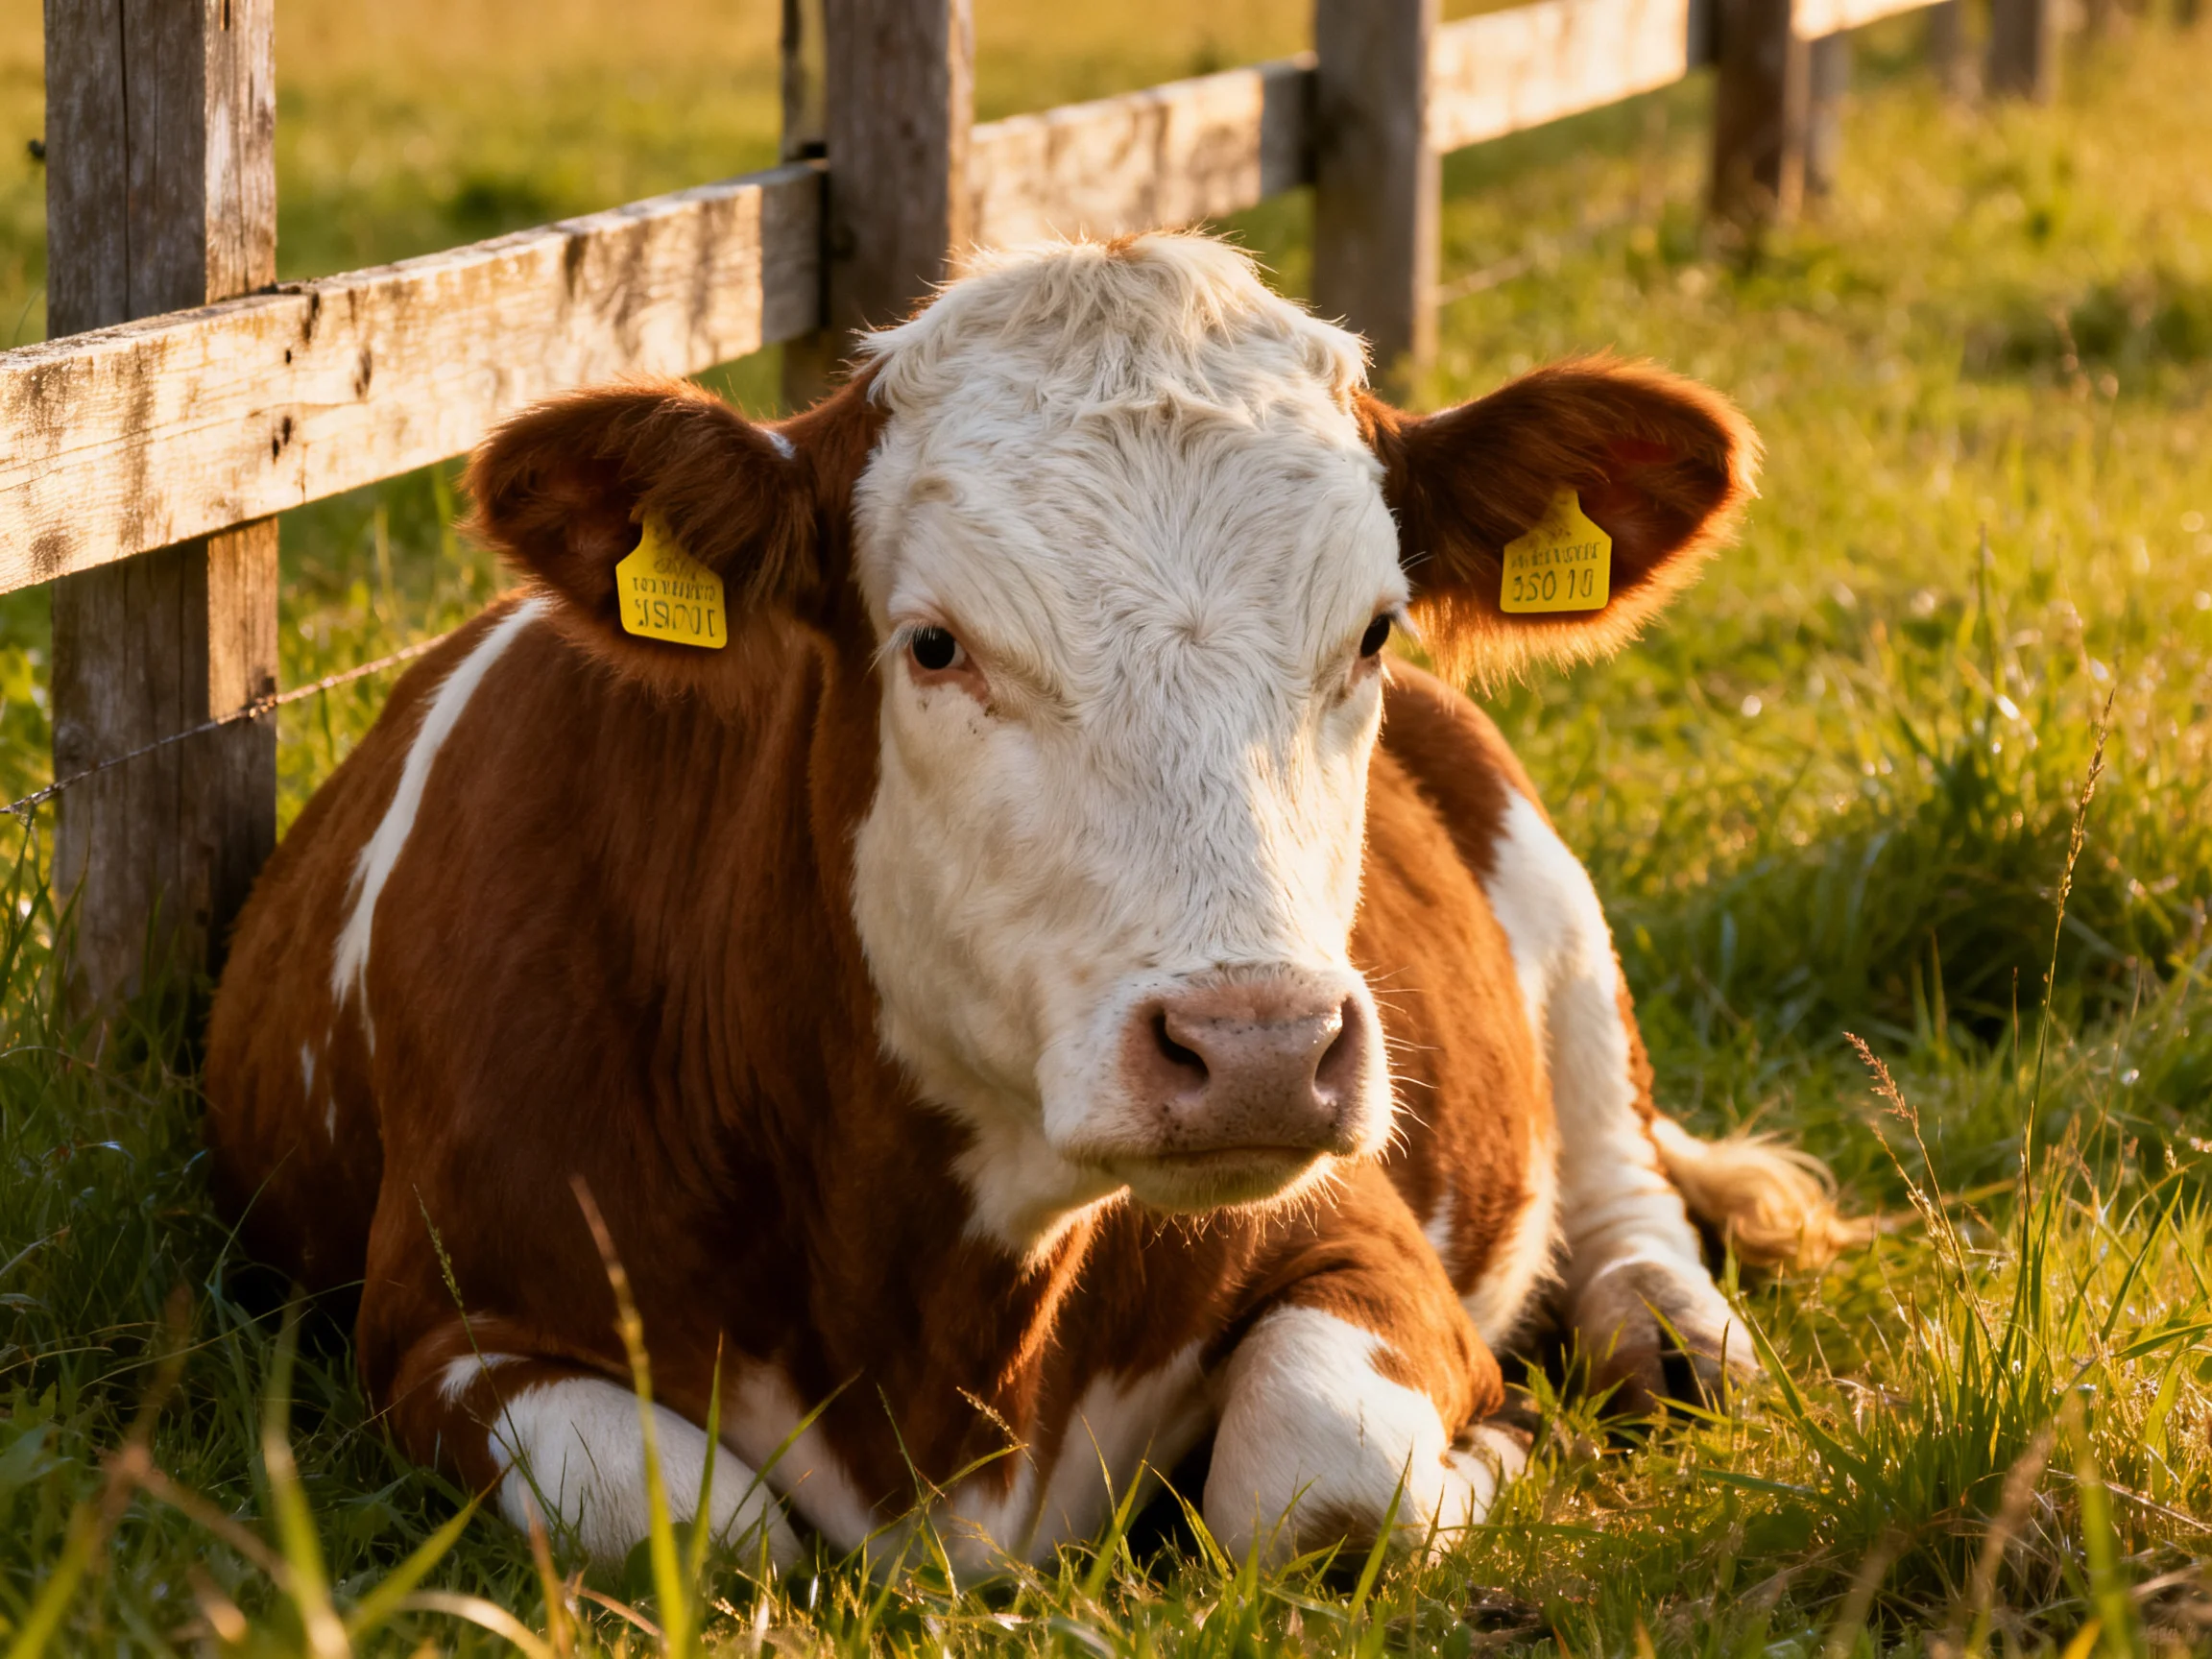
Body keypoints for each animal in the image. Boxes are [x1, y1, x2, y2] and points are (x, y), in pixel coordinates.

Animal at [205, 232, 1859, 1575]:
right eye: (936, 645)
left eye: (1375, 631)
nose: (1257, 1050)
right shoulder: (445, 1328)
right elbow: (687, 1524)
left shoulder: (1369, 1250)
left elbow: (1319, 1483)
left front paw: (1507, 1437)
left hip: (1553, 902)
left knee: (1620, 1171)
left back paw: (1673, 1334)